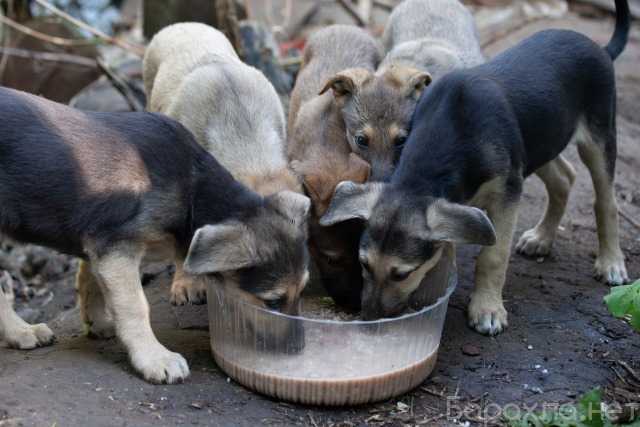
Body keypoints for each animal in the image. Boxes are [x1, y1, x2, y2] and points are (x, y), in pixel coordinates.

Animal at [0, 87, 310, 384]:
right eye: (272, 302)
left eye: (302, 291)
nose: (298, 349)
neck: (192, 191)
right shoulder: (116, 248)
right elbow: (136, 306)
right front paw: (153, 358)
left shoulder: (98, 242)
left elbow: (90, 281)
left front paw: (98, 323)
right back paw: (21, 331)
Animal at [322, 0, 632, 336]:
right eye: (364, 264)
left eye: (402, 274)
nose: (369, 321)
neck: (451, 131)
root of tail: (600, 48)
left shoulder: (508, 193)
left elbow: (493, 256)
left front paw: (487, 309)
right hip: (540, 141)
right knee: (564, 176)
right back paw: (541, 238)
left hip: (598, 137)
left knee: (606, 201)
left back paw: (611, 262)